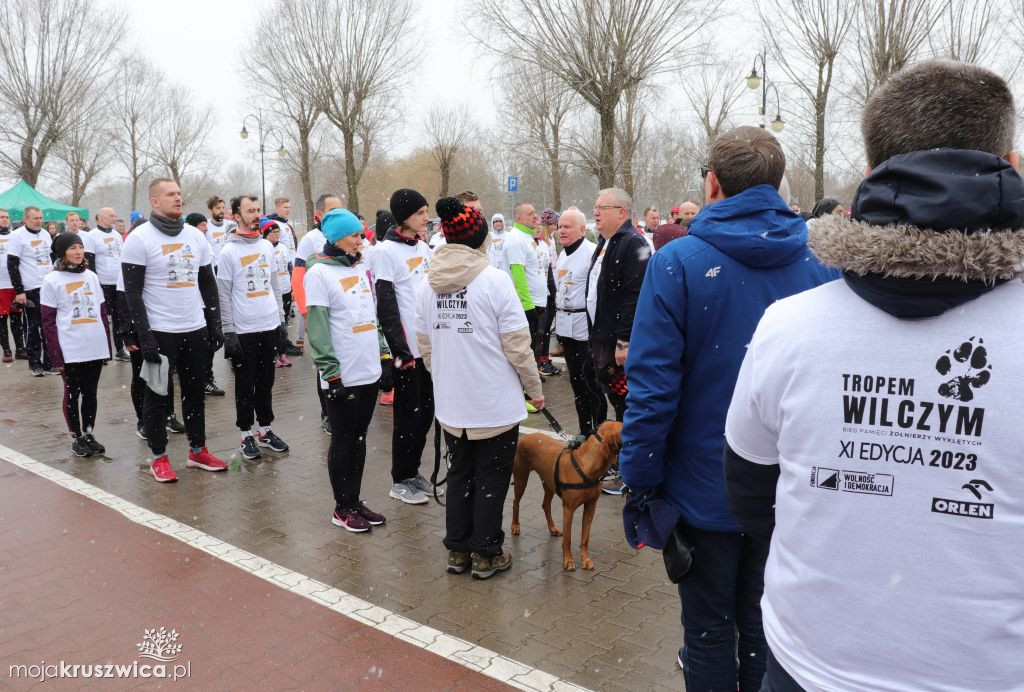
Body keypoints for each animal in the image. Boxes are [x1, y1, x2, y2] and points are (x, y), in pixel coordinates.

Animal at [507, 419, 618, 569]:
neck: (585, 467)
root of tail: (525, 437)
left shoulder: (591, 506)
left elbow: (585, 538)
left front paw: (586, 560)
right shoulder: (568, 509)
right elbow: (567, 539)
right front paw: (568, 561)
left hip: (548, 483)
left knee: (545, 505)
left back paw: (552, 528)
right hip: (521, 478)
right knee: (516, 502)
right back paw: (515, 526)